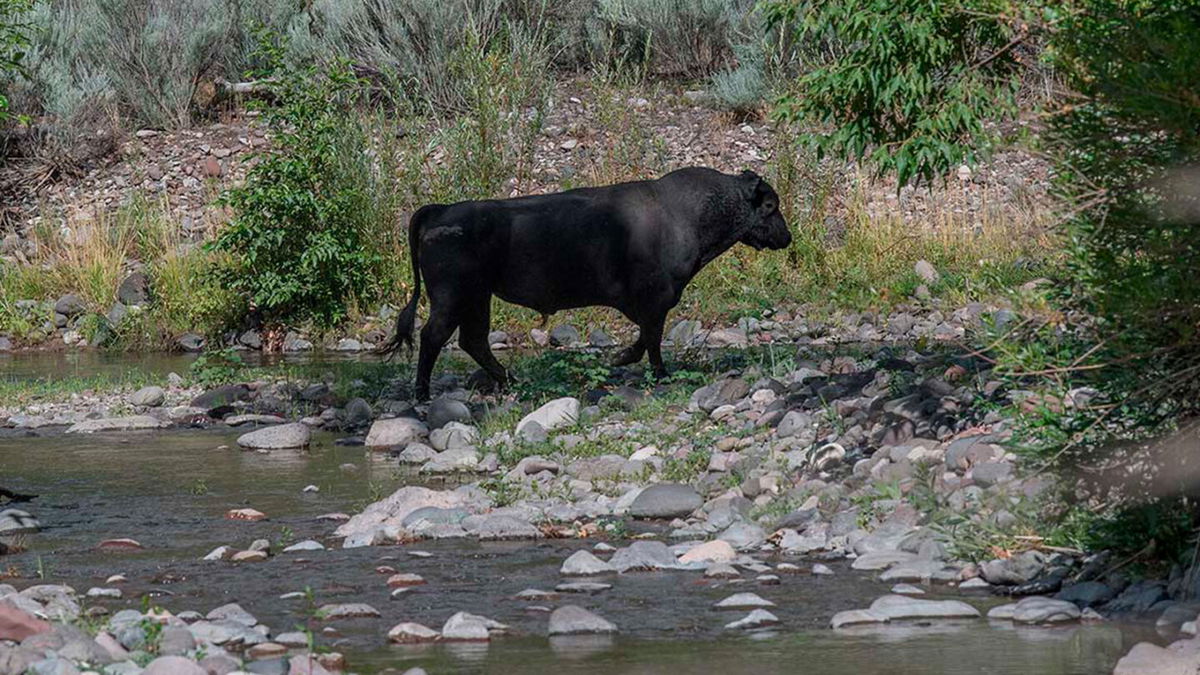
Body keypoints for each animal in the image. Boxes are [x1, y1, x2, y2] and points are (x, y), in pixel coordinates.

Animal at [384, 166, 792, 398]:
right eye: (770, 206)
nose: (786, 237)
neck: (687, 213)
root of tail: (440, 211)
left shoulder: (652, 303)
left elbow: (646, 336)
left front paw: (621, 357)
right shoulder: (656, 298)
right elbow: (652, 339)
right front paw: (655, 370)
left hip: (477, 298)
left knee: (473, 341)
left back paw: (511, 380)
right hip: (453, 297)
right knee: (435, 336)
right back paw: (422, 393)